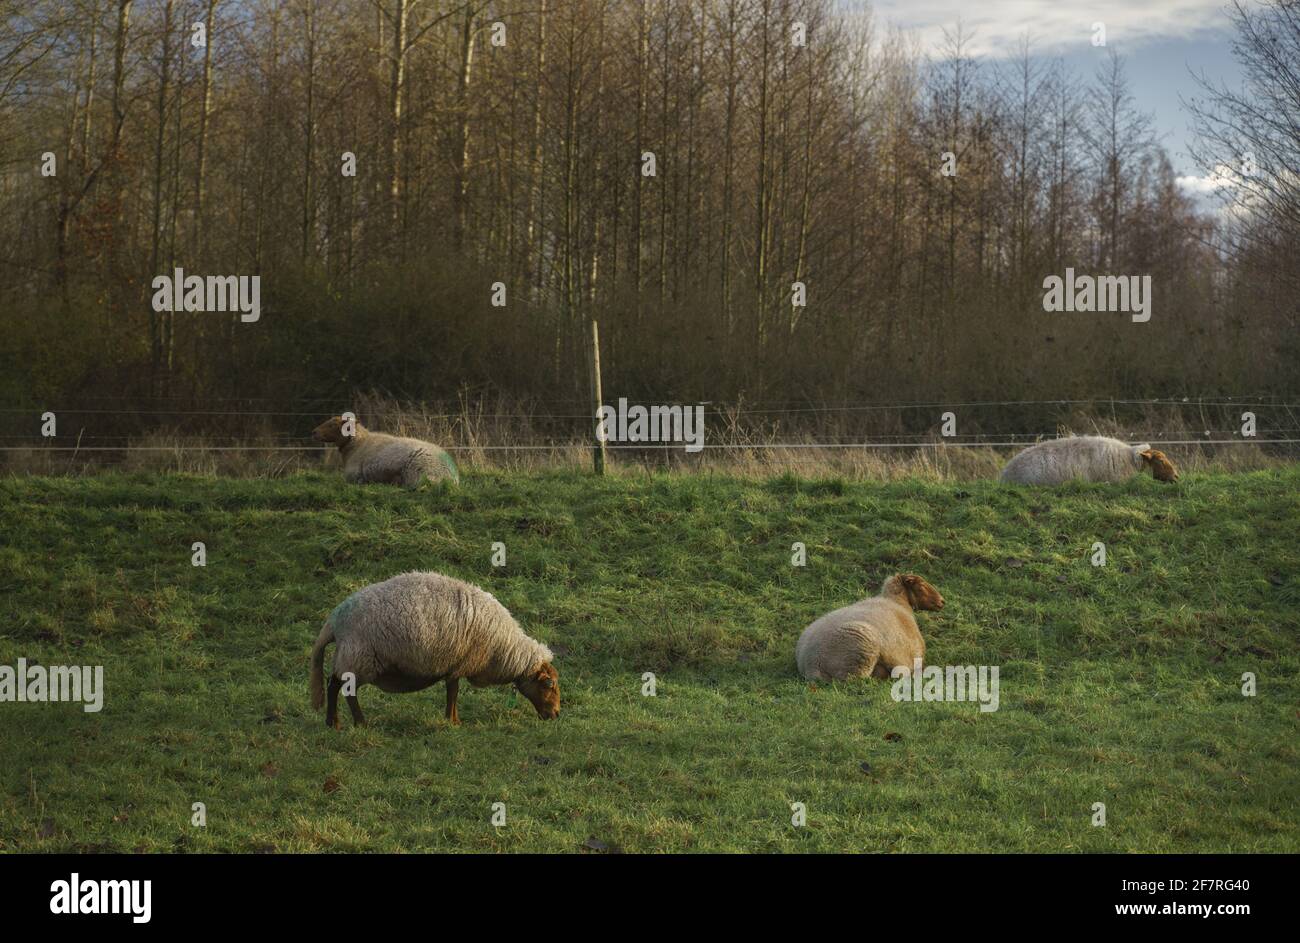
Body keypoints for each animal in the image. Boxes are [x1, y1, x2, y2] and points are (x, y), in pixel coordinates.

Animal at [312, 411, 460, 486]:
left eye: (332, 425)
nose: (314, 432)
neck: (358, 444)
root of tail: (452, 477)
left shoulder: (353, 475)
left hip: (417, 473)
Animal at [314, 567, 564, 728]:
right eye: (549, 685)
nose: (556, 714)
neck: (504, 648)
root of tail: (334, 620)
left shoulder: (455, 664)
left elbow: (452, 691)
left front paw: (452, 719)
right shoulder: (459, 663)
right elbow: (453, 692)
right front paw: (454, 722)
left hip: (354, 657)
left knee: (335, 684)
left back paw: (334, 722)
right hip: (359, 657)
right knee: (341, 687)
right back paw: (352, 722)